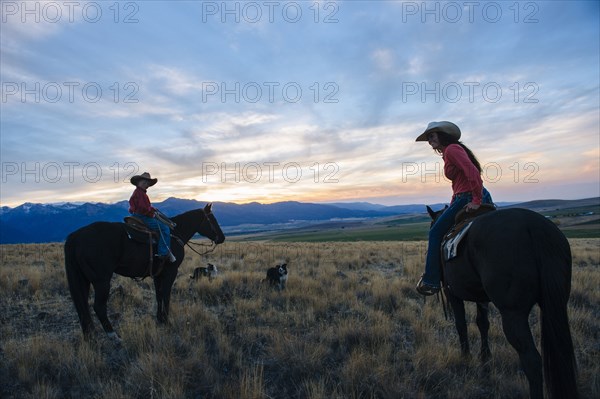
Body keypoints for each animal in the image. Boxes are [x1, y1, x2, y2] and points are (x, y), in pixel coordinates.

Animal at [64, 206, 225, 340]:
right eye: (212, 219)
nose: (222, 238)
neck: (175, 234)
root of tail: (76, 236)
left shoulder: (158, 275)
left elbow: (159, 296)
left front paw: (160, 319)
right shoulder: (171, 272)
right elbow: (166, 295)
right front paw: (167, 321)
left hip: (83, 279)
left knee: (82, 306)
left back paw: (90, 336)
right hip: (101, 281)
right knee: (98, 307)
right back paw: (113, 335)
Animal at [426, 206, 576, 399]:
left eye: (432, 226)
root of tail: (534, 227)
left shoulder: (452, 292)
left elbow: (461, 324)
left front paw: (466, 356)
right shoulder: (481, 297)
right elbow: (483, 323)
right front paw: (485, 357)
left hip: (513, 313)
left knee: (532, 361)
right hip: (556, 305)